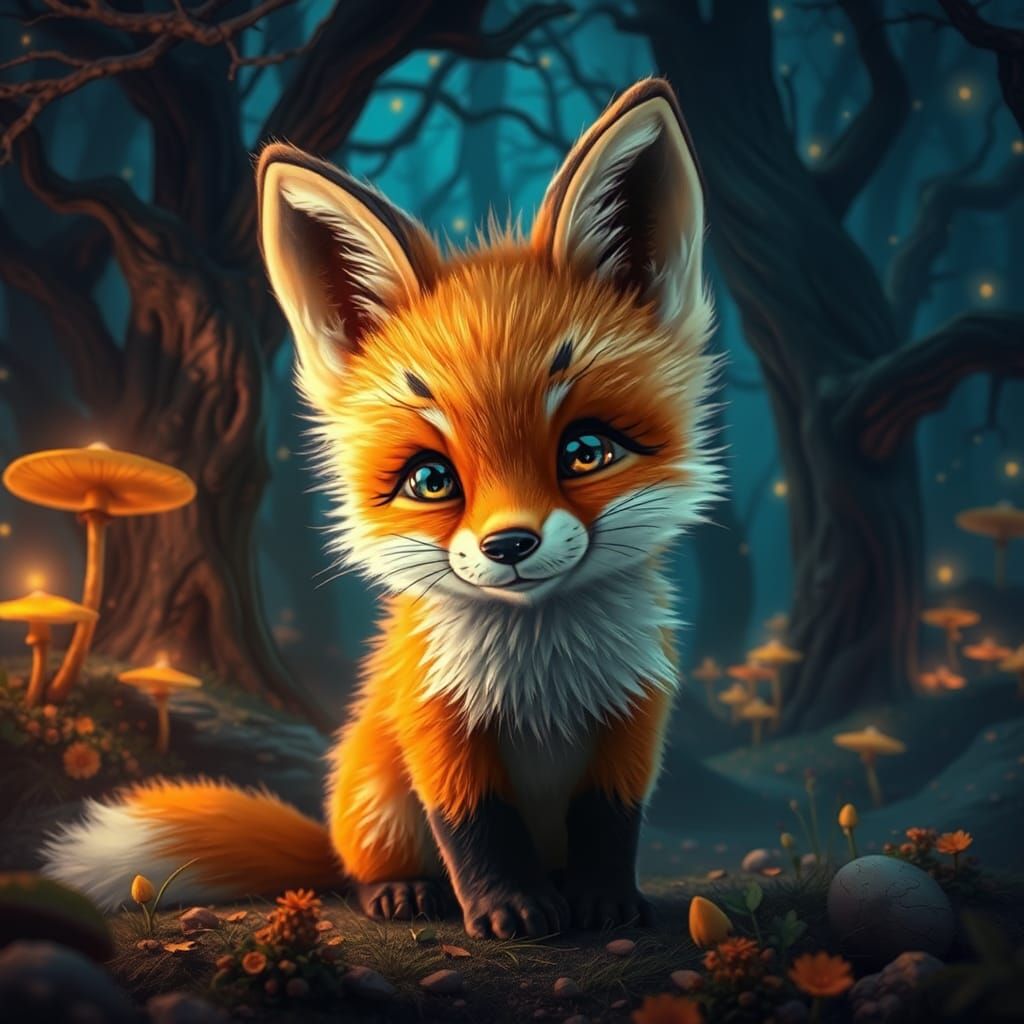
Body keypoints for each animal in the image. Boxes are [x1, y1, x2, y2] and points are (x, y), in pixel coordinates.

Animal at [42, 78, 720, 939]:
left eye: (586, 451)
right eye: (431, 480)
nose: (510, 545)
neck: (542, 677)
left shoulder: (633, 719)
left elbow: (611, 823)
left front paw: (603, 901)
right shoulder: (436, 724)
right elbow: (477, 829)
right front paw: (506, 906)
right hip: (378, 793)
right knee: (365, 869)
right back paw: (402, 891)